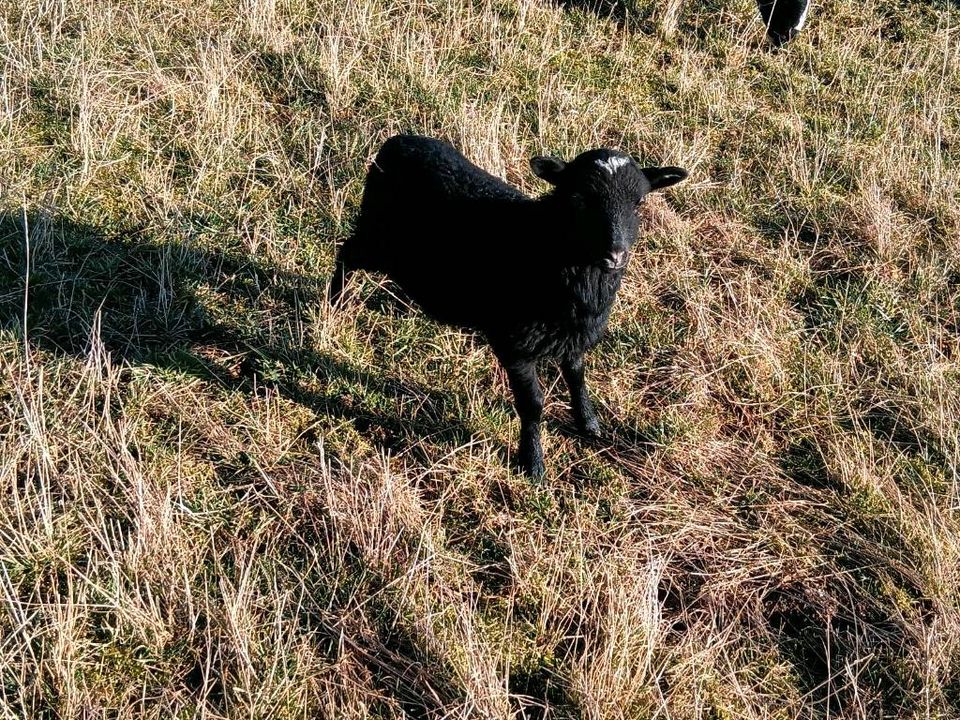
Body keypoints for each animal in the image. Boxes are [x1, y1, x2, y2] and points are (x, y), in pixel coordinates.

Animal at [326, 135, 688, 478]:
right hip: (377, 239)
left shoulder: (574, 336)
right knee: (346, 252)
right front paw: (532, 464)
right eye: (579, 199)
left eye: (639, 202)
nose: (615, 255)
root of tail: (398, 140)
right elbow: (533, 405)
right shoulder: (516, 346)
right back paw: (334, 305)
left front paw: (589, 425)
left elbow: (576, 377)